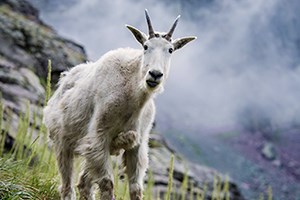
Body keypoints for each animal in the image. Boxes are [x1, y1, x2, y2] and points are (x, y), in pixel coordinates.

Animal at [42, 10, 197, 199]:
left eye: (170, 50)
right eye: (146, 46)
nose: (154, 74)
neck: (133, 97)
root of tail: (64, 78)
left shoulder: (137, 145)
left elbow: (136, 188)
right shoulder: (99, 136)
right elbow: (107, 183)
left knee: (84, 183)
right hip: (62, 140)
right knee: (67, 183)